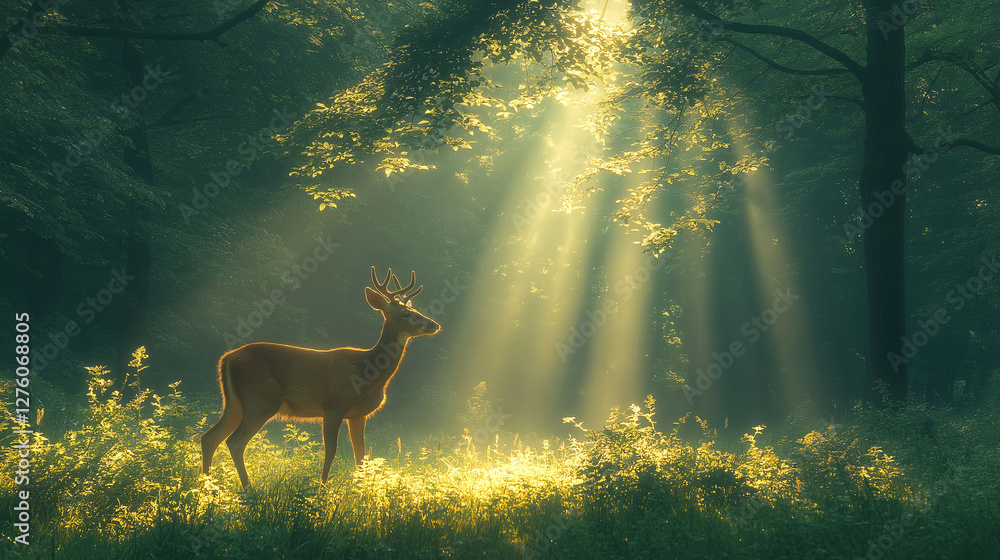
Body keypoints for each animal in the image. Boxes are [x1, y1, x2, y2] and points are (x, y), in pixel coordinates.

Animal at [200, 267, 441, 489]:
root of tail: (226, 359)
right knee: (234, 442)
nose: (434, 324)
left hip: (235, 403)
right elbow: (331, 451)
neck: (368, 371)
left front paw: (360, 489)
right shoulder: (334, 405)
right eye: (406, 314)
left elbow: (361, 455)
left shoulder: (358, 415)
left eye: (414, 308)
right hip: (261, 400)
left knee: (210, 437)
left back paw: (207, 487)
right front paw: (323, 488)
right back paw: (247, 488)